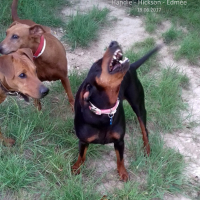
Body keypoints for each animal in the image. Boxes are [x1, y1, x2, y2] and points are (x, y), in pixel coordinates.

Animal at [72, 41, 161, 182]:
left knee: (144, 130)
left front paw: (123, 173)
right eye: (97, 63)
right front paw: (76, 168)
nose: (113, 42)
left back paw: (147, 150)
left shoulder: (119, 141)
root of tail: (132, 67)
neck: (103, 112)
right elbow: (81, 156)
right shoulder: (83, 141)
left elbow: (120, 158)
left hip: (139, 106)